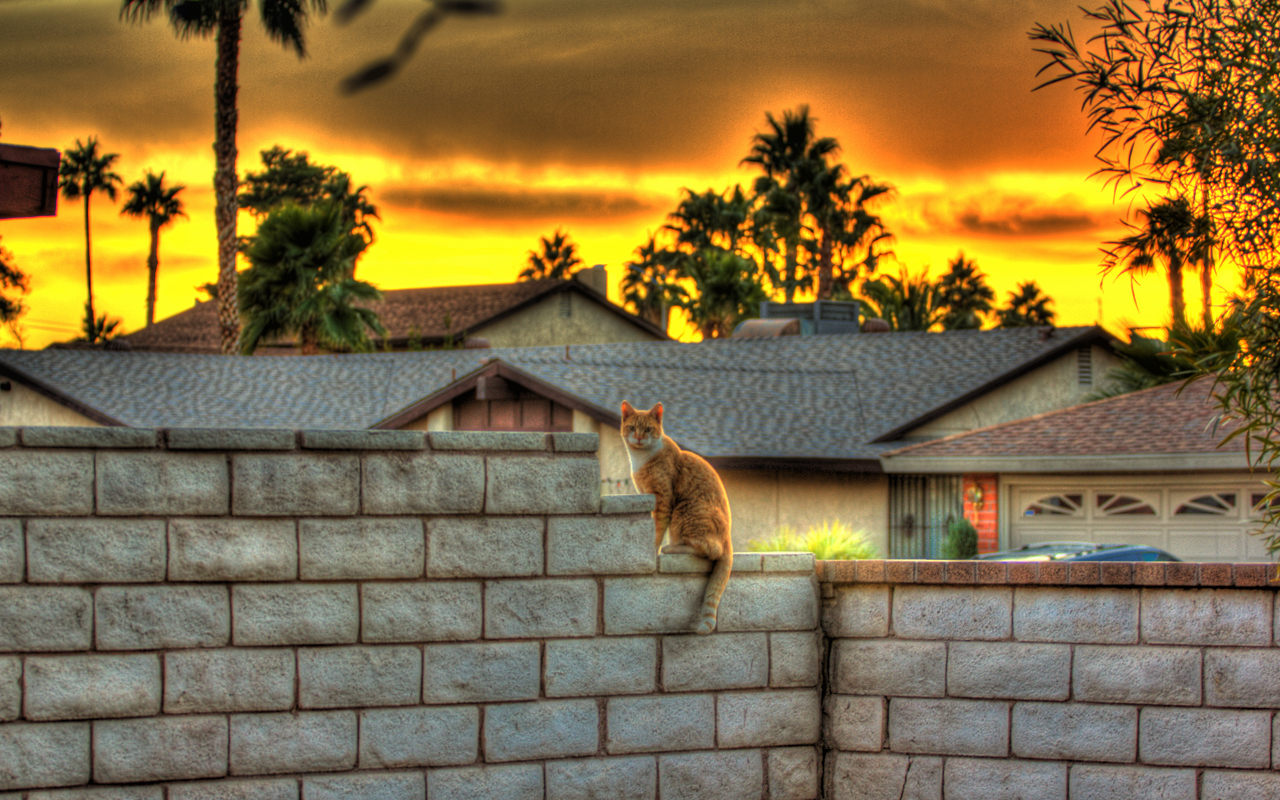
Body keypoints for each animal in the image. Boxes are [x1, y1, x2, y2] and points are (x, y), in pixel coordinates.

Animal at [619, 401, 732, 632]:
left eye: (648, 429)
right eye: (633, 428)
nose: (639, 438)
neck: (641, 459)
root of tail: (729, 539)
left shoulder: (663, 500)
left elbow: (657, 531)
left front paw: (653, 550)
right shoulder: (648, 497)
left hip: (685, 512)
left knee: (709, 550)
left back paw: (671, 548)